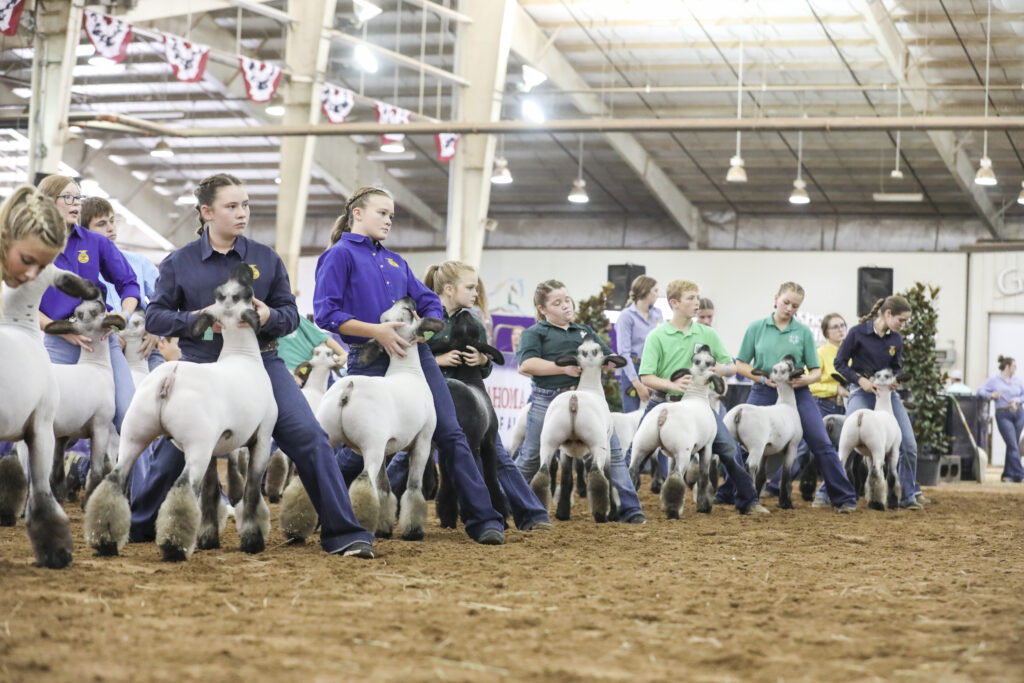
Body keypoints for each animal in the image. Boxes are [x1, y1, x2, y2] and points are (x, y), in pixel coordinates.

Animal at [311, 296, 440, 540]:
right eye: (407, 310)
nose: (408, 297)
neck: (407, 371)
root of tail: (348, 391)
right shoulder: (423, 441)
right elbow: (413, 488)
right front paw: (413, 531)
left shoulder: (387, 446)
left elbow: (383, 489)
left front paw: (383, 528)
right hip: (371, 445)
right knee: (363, 481)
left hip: (332, 434)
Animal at [626, 348, 724, 518]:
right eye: (707, 361)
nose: (705, 346)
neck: (696, 396)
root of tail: (664, 413)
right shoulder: (707, 446)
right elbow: (703, 476)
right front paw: (704, 506)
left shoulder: (671, 454)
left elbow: (669, 470)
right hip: (683, 451)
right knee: (676, 476)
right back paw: (673, 512)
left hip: (641, 445)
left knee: (633, 471)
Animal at [720, 358, 806, 507]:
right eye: (788, 366)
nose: (789, 357)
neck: (786, 403)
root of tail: (739, 412)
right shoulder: (792, 446)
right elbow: (786, 476)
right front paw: (785, 503)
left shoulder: (766, 450)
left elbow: (761, 476)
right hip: (756, 446)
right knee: (749, 466)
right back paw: (751, 499)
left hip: (735, 442)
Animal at [835, 370, 901, 509]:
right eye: (888, 375)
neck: (884, 409)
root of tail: (861, 415)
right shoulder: (894, 450)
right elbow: (892, 476)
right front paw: (893, 502)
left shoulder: (869, 455)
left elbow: (870, 477)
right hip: (877, 448)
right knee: (877, 472)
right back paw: (878, 504)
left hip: (845, 443)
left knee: (841, 467)